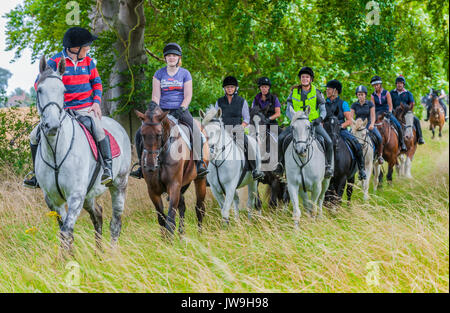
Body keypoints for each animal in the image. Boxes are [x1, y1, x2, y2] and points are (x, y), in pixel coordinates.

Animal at [135, 103, 209, 235]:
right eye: (142, 135)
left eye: (159, 134)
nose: (150, 166)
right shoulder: (153, 190)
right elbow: (162, 219)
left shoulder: (174, 186)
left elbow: (170, 221)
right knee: (182, 206)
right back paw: (181, 235)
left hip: (200, 179)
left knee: (199, 208)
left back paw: (200, 236)